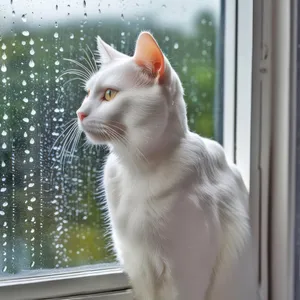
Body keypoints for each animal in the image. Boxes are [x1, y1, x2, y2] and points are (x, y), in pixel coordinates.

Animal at [77, 31, 258, 298]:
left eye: (109, 94)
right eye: (87, 93)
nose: (80, 113)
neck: (136, 170)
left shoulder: (184, 276)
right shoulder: (137, 267)